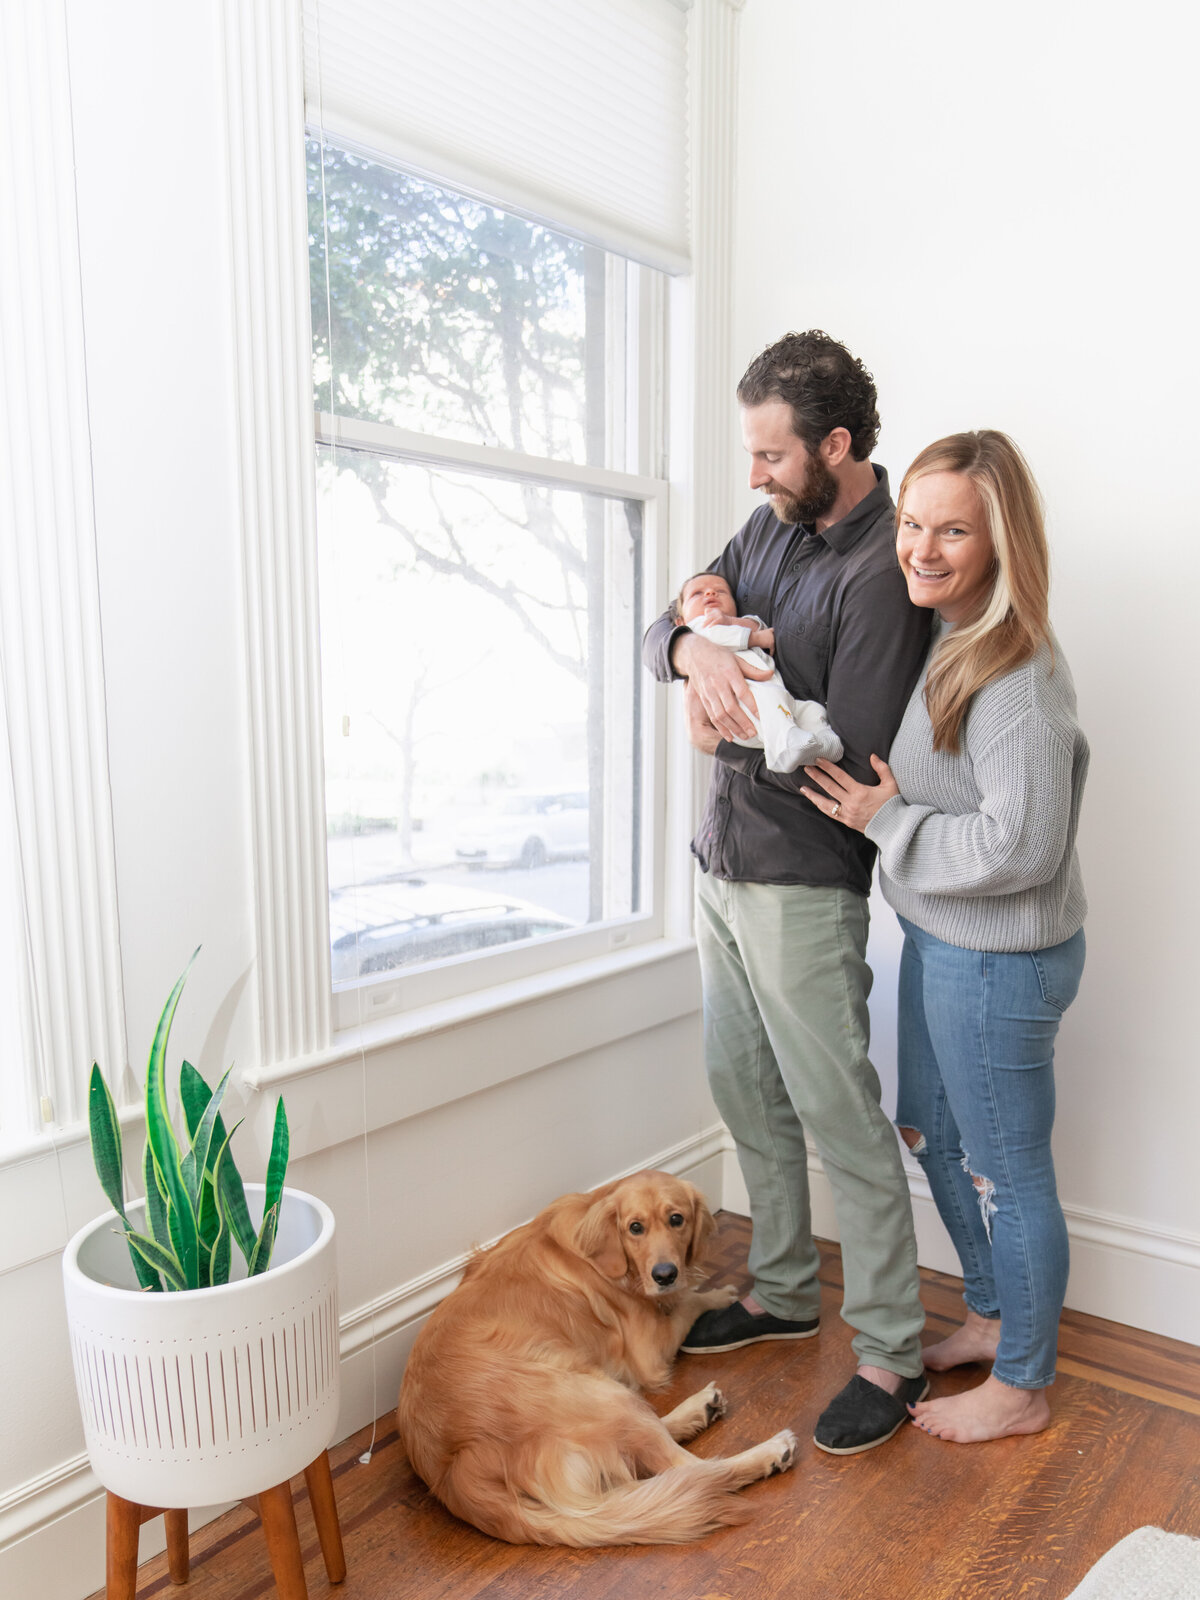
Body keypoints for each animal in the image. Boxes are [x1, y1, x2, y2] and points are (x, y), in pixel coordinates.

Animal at [400, 1171, 803, 1542]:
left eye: (677, 1219)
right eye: (635, 1228)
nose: (665, 1275)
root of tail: (456, 1476)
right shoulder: (649, 1351)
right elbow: (689, 1301)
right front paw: (718, 1295)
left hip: (603, 1394)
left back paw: (698, 1411)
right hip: (600, 1394)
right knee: (695, 1469)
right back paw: (769, 1451)